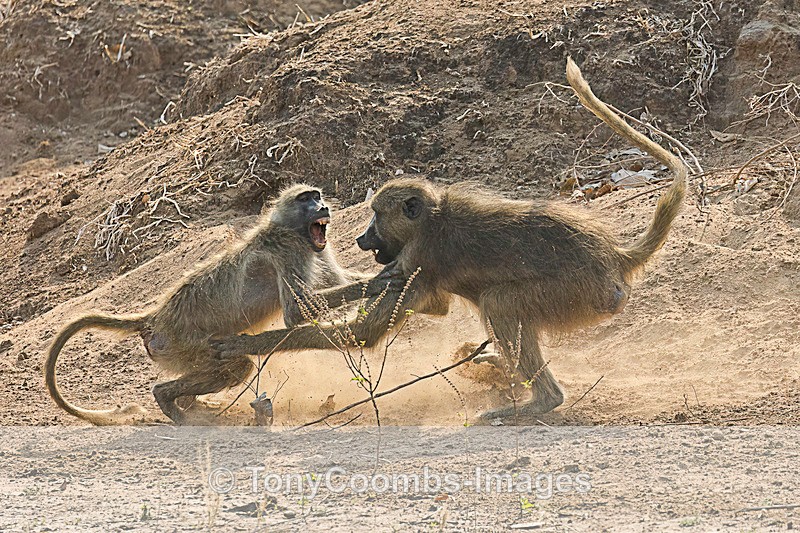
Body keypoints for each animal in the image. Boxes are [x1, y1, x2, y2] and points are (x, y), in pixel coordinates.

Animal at [45, 184, 402, 425]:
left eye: (318, 196)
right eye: (307, 199)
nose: (323, 207)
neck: (286, 228)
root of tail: (155, 317)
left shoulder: (316, 248)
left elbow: (336, 282)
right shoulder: (288, 251)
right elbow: (296, 313)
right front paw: (379, 282)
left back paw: (192, 405)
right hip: (181, 345)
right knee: (235, 365)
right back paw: (172, 404)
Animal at [209, 58, 688, 422]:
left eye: (375, 216)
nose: (363, 239)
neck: (430, 220)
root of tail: (615, 256)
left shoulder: (419, 256)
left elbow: (364, 333)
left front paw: (243, 343)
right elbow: (432, 307)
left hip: (580, 295)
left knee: (499, 302)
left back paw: (537, 401)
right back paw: (499, 372)